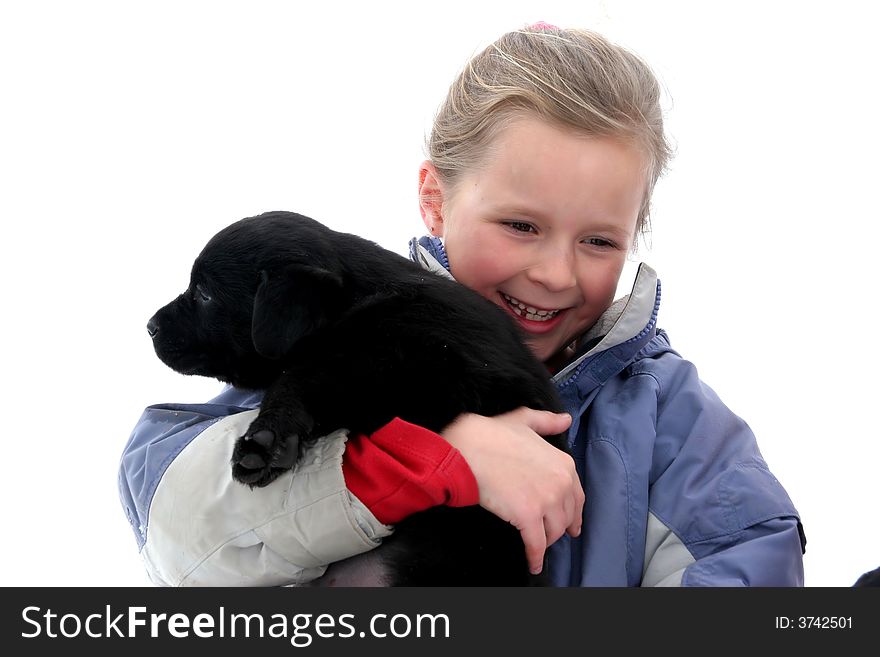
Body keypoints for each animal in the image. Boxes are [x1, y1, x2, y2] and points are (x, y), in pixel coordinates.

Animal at [148, 209, 568, 584]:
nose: (149, 326)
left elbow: (309, 375)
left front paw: (264, 441)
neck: (358, 297)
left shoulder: (436, 362)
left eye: (204, 294)